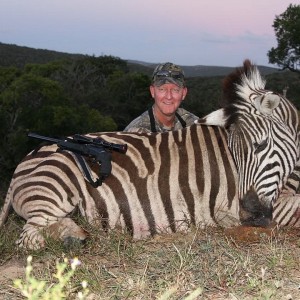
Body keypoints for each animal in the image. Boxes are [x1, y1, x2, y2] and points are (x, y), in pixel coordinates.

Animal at [0, 59, 298, 248]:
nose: (249, 216)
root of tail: (23, 163)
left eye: (259, 146)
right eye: (235, 154)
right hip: (55, 192)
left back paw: (76, 233)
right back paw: (71, 239)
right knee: (28, 239)